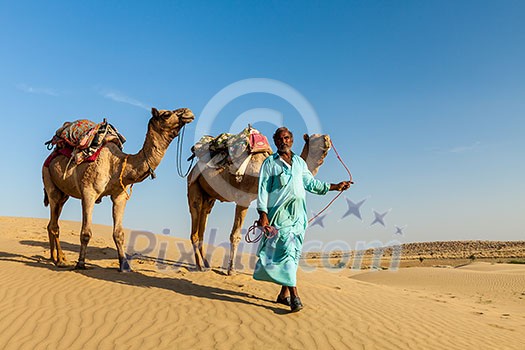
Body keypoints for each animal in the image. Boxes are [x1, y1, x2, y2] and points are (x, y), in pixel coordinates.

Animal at [42, 108, 194, 272]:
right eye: (166, 114)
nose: (188, 112)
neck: (117, 164)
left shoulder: (119, 196)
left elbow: (119, 233)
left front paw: (124, 265)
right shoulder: (88, 192)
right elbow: (86, 232)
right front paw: (81, 263)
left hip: (63, 194)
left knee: (52, 222)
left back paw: (56, 257)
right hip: (49, 181)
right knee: (54, 224)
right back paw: (59, 261)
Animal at [186, 133, 330, 274]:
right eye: (314, 139)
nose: (327, 139)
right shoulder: (243, 198)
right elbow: (235, 235)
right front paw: (231, 269)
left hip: (209, 196)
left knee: (203, 221)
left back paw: (206, 264)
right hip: (193, 186)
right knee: (195, 218)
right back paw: (199, 266)